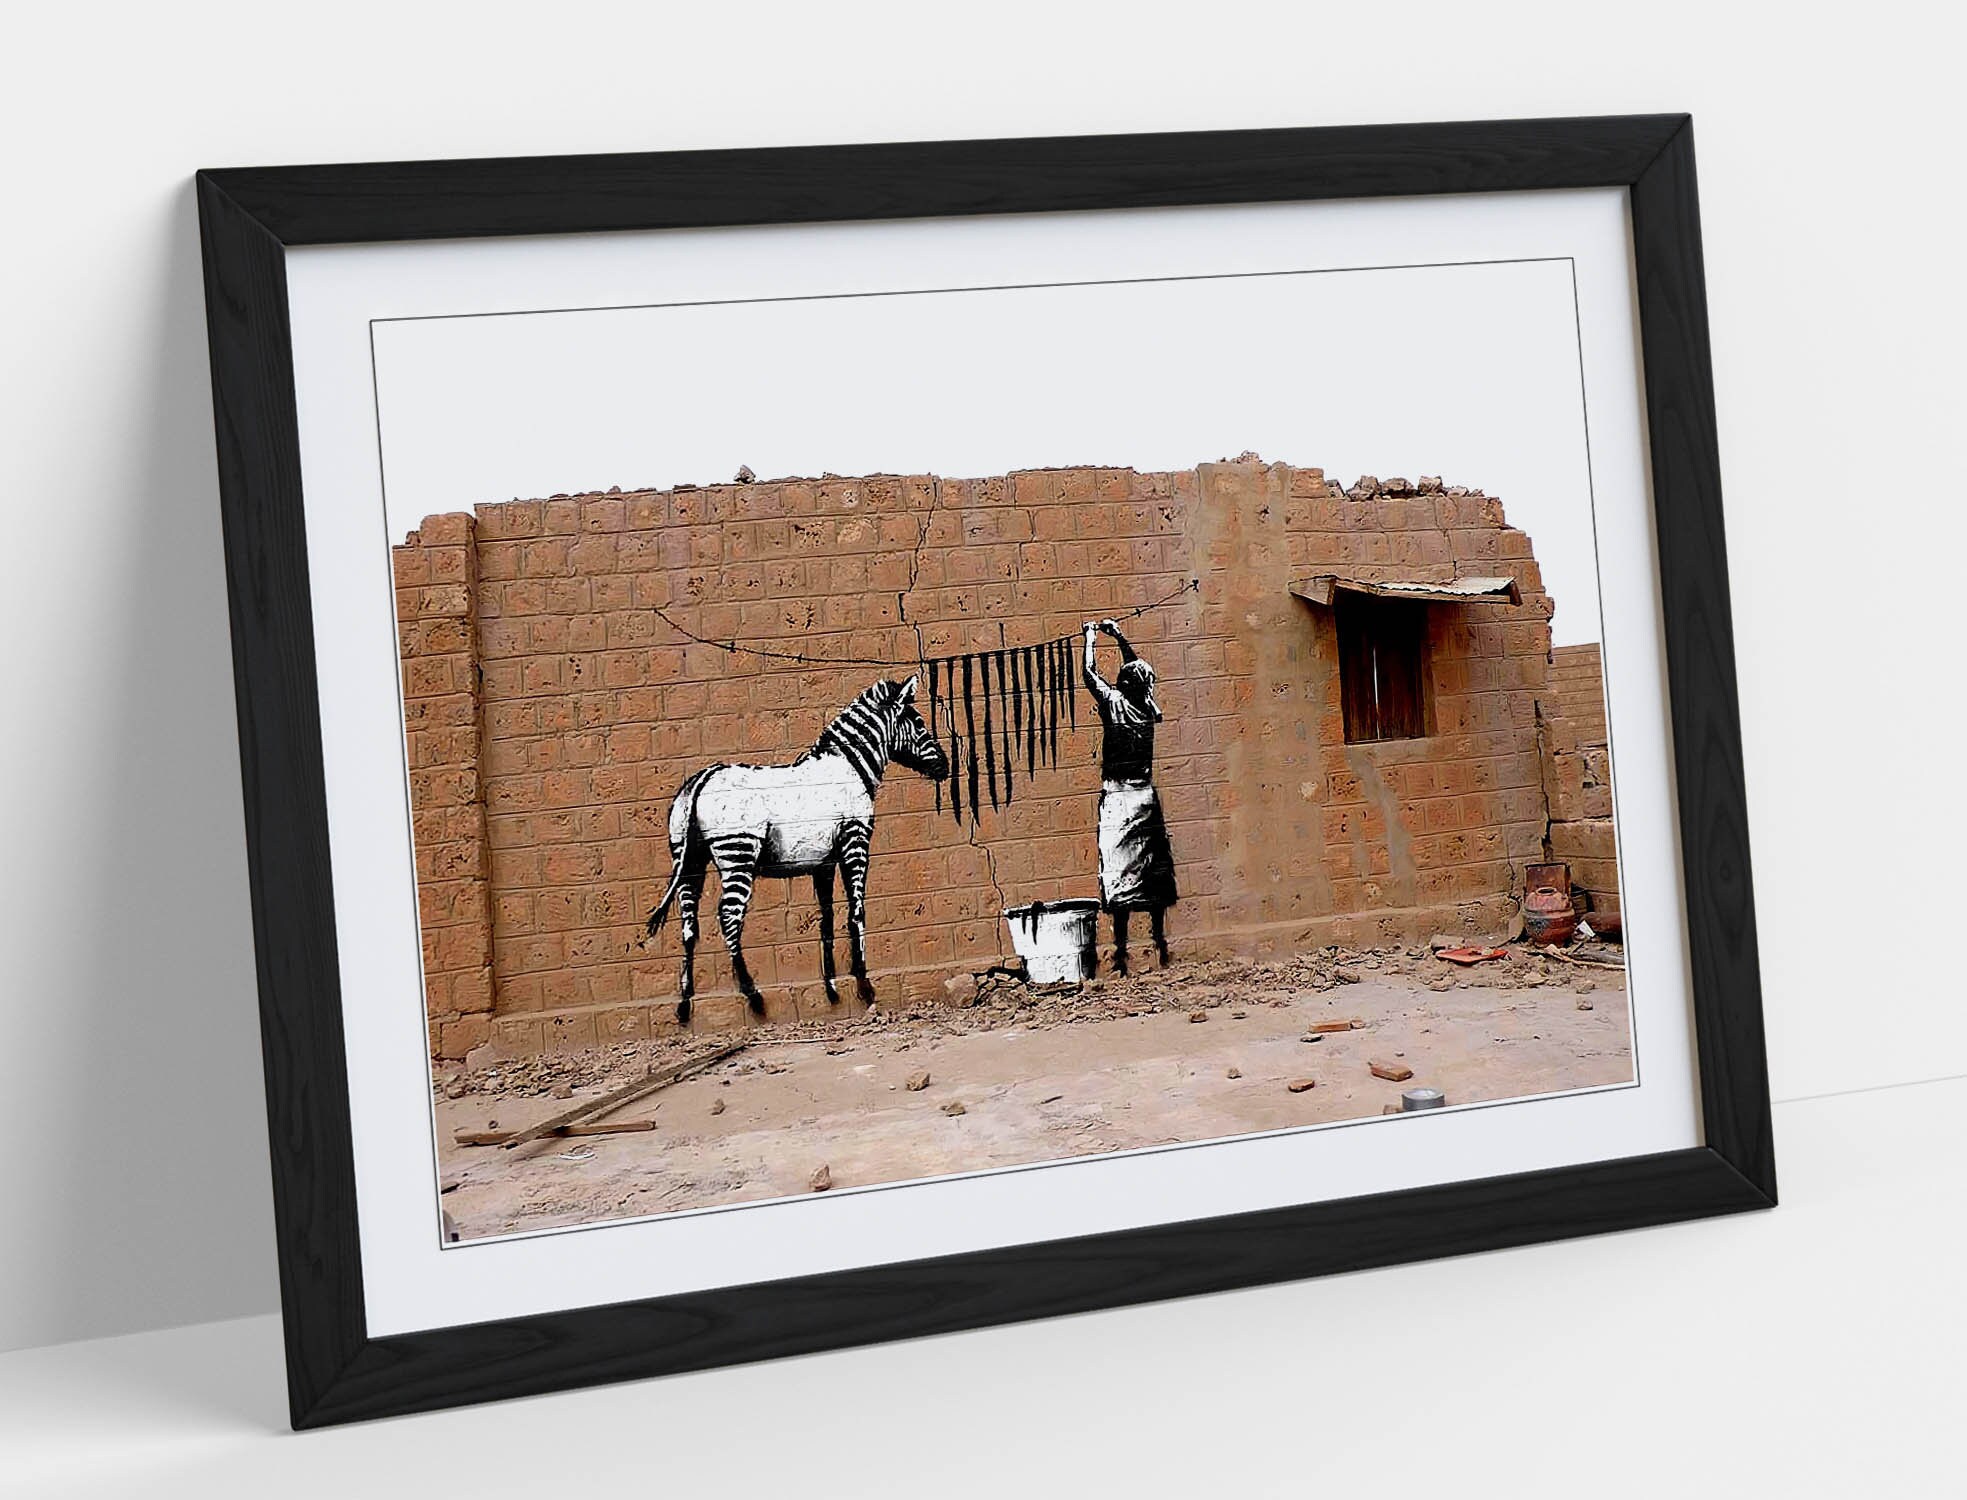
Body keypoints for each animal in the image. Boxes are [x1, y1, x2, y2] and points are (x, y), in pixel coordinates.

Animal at [644, 675, 948, 1024]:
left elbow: (826, 918)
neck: (850, 767)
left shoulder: (824, 861)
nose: (945, 767)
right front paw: (864, 983)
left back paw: (684, 1003)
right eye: (920, 723)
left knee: (688, 921)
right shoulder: (855, 842)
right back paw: (753, 995)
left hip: (688, 857)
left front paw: (832, 988)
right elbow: (856, 910)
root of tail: (703, 778)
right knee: (729, 915)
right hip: (738, 851)